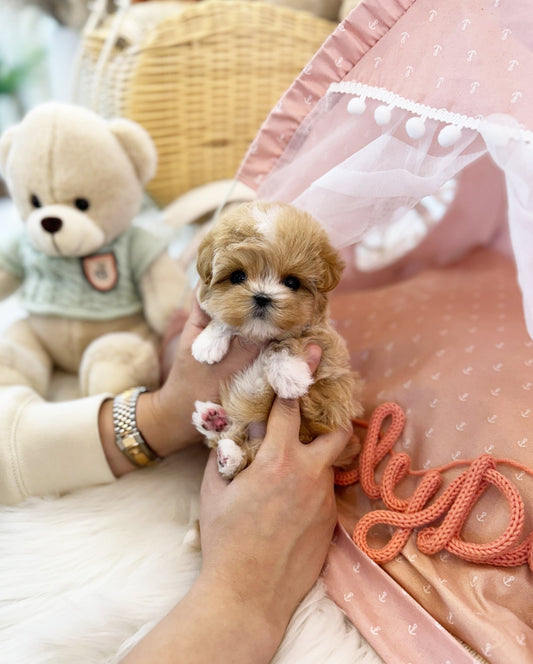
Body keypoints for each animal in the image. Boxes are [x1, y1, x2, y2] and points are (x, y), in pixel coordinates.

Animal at [191, 201, 362, 478]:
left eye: (292, 282)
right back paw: (215, 425)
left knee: (245, 452)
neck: (260, 334)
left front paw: (290, 376)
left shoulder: (324, 349)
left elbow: (285, 344)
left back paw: (221, 438)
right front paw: (208, 343)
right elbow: (223, 319)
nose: (262, 297)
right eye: (237, 276)